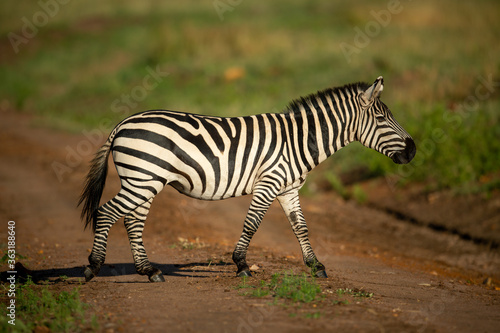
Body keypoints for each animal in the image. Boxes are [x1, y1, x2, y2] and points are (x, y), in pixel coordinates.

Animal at [78, 76, 414, 282]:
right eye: (382, 118)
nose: (412, 150)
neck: (299, 140)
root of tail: (122, 123)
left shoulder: (289, 189)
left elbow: (301, 228)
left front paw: (316, 265)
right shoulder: (269, 182)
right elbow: (252, 224)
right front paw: (240, 264)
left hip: (145, 181)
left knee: (132, 221)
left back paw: (149, 271)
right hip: (143, 179)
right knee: (106, 213)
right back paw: (93, 266)